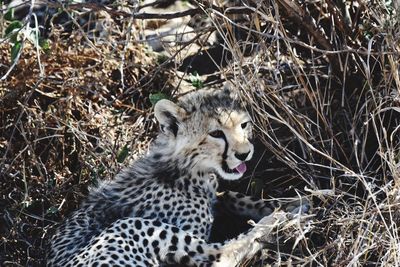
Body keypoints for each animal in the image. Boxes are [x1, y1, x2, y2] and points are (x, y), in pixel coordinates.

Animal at [47, 87, 310, 266]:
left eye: (243, 125)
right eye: (216, 133)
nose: (245, 154)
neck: (188, 167)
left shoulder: (215, 194)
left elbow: (237, 196)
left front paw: (294, 202)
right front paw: (286, 210)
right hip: (125, 227)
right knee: (220, 255)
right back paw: (274, 221)